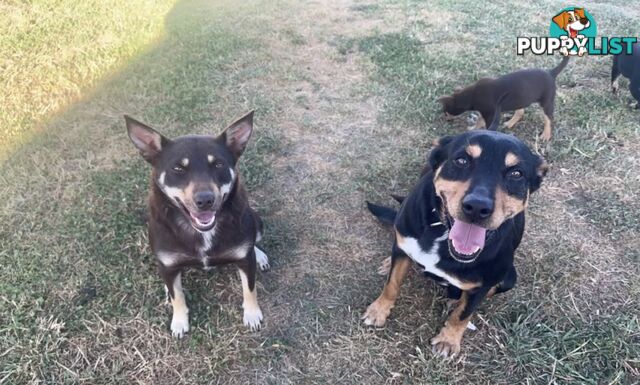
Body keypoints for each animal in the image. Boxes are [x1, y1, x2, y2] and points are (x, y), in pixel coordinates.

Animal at [125, 110, 268, 336]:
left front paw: (252, 314)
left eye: (218, 164)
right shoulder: (167, 262)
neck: (202, 232)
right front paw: (179, 321)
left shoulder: (245, 260)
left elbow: (249, 287)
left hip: (257, 221)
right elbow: (177, 296)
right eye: (177, 168)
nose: (205, 200)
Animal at [362, 130, 548, 356]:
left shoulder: (483, 284)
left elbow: (463, 314)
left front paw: (448, 340)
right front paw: (378, 310)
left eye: (516, 174)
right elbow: (392, 284)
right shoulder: (404, 244)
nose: (477, 207)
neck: (441, 234)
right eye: (461, 160)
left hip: (509, 278)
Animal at [440, 55, 568, 141]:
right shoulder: (486, 112)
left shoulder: (490, 115)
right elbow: (480, 121)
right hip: (521, 99)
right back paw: (510, 123)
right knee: (520, 112)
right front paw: (473, 129)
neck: (472, 94)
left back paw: (546, 134)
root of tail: (551, 73)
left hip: (546, 102)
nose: (446, 120)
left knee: (549, 118)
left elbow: (484, 125)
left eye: (445, 112)